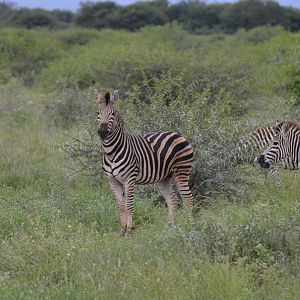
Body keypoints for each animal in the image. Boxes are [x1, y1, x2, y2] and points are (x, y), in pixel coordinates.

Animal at [95, 89, 196, 237]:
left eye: (113, 113)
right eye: (97, 113)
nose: (102, 132)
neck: (111, 151)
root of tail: (178, 134)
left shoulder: (129, 180)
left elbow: (129, 205)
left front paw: (129, 230)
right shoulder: (112, 181)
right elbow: (120, 206)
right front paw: (122, 230)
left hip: (181, 172)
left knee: (188, 198)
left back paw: (191, 226)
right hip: (164, 178)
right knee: (172, 199)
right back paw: (170, 228)